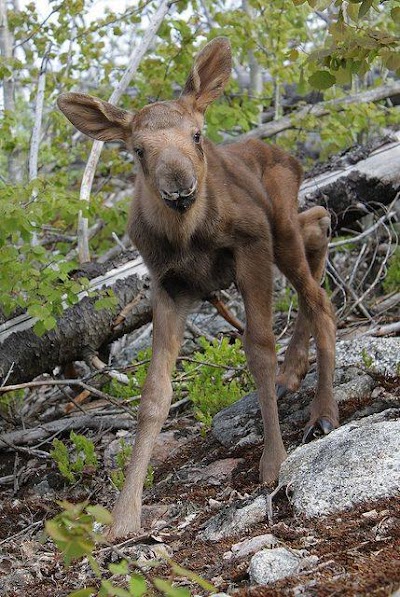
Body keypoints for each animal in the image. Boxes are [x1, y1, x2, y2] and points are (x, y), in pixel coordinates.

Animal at [57, 38, 338, 540]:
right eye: (138, 150)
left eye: (196, 135)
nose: (179, 188)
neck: (188, 234)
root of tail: (285, 153)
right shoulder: (168, 286)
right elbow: (154, 396)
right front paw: (123, 515)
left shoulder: (251, 247)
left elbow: (258, 349)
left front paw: (273, 462)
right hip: (285, 234)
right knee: (320, 224)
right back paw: (294, 371)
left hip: (279, 228)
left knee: (320, 295)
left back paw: (323, 407)